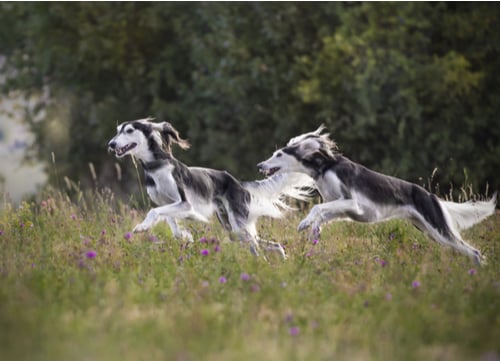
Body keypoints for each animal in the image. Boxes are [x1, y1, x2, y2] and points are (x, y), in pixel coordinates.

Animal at [108, 117, 312, 256]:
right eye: (117, 130)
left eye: (129, 130)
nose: (111, 144)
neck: (156, 166)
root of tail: (238, 183)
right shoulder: (169, 204)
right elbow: (171, 223)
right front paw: (185, 236)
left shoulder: (184, 203)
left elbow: (154, 212)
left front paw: (142, 227)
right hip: (232, 228)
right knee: (271, 244)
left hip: (237, 224)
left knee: (257, 246)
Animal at [258, 125, 496, 262]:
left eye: (279, 154)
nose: (260, 165)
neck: (325, 166)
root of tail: (431, 196)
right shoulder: (341, 207)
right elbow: (323, 214)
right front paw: (313, 231)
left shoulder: (352, 204)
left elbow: (317, 208)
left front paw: (304, 224)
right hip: (430, 232)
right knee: (471, 252)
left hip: (438, 228)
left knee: (474, 252)